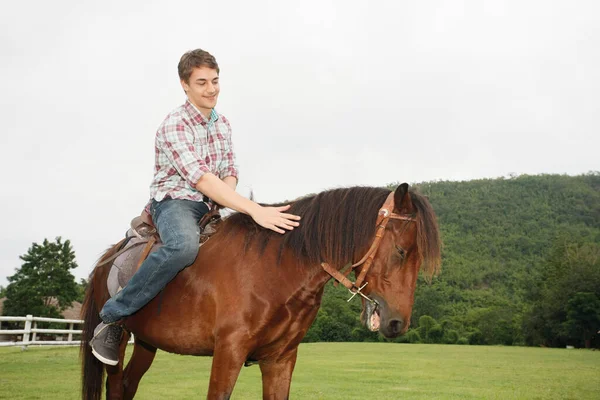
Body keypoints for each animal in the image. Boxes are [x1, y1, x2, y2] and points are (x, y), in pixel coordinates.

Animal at [81, 183, 440, 398]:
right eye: (402, 251)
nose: (398, 323)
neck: (274, 269)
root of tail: (105, 261)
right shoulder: (228, 354)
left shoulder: (280, 360)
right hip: (120, 345)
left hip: (146, 343)